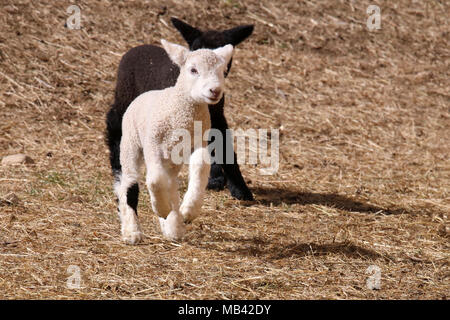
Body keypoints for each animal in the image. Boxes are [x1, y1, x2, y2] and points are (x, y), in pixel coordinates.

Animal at [114, 40, 234, 245]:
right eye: (193, 70)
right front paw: (161, 209)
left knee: (169, 184)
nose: (215, 91)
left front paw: (189, 210)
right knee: (129, 182)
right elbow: (154, 180)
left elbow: (200, 167)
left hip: (171, 160)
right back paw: (132, 231)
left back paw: (173, 225)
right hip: (131, 143)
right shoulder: (153, 144)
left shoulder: (198, 142)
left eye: (223, 70)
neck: (182, 115)